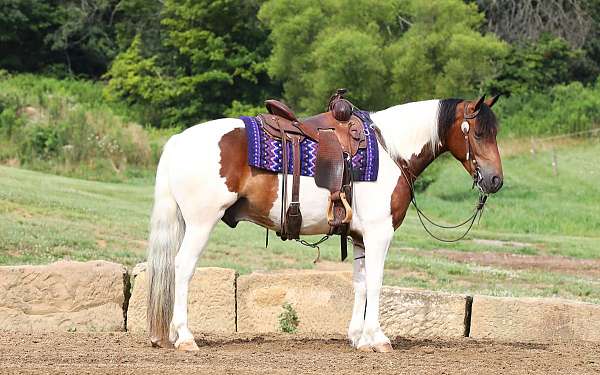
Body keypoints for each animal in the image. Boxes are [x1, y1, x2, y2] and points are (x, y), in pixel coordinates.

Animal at [148, 94, 504, 352]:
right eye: (479, 133)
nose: (496, 180)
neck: (389, 150)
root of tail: (177, 141)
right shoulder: (379, 234)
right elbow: (377, 282)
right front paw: (378, 338)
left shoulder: (360, 236)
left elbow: (361, 283)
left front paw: (358, 338)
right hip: (201, 223)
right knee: (183, 268)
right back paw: (185, 337)